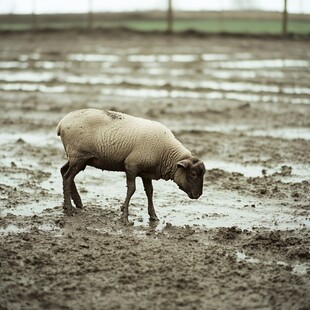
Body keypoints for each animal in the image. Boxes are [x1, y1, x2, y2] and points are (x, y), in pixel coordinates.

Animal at [56, 109, 206, 223]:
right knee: (68, 177)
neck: (166, 153)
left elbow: (150, 192)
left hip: (78, 158)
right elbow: (132, 190)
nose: (198, 194)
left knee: (63, 171)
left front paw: (153, 216)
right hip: (79, 156)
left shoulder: (146, 173)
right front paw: (125, 217)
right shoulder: (131, 166)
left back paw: (76, 203)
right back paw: (69, 208)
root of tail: (62, 123)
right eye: (192, 174)